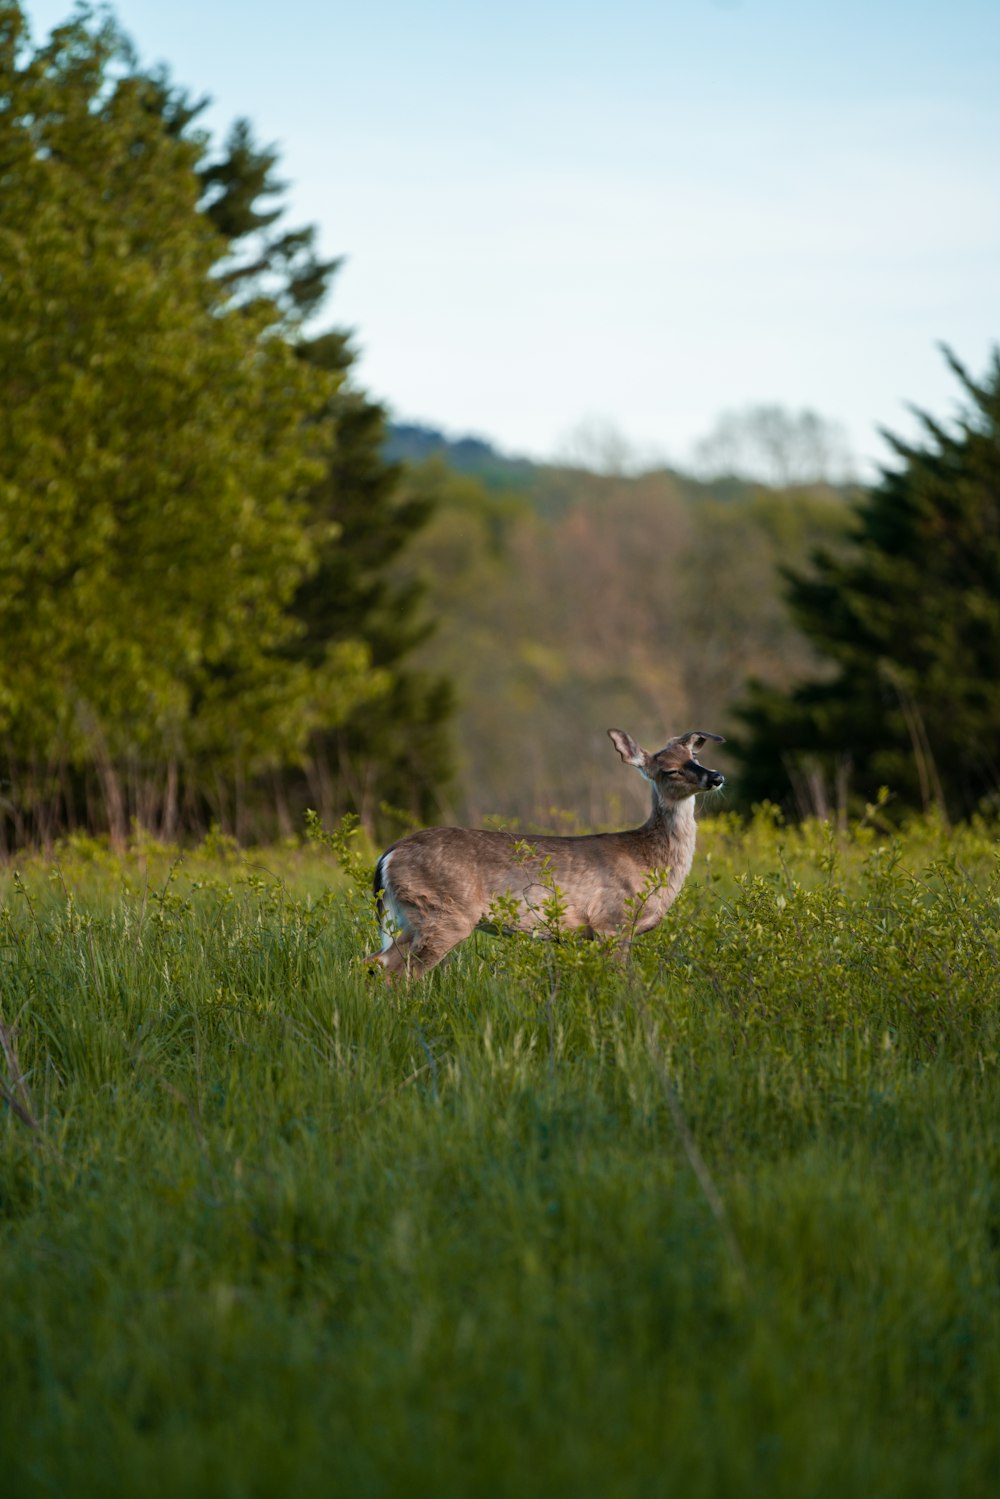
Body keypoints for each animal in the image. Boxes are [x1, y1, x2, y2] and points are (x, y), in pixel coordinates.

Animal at [364, 728, 722, 983]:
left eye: (694, 756)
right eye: (670, 770)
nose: (716, 776)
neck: (648, 860)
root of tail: (387, 856)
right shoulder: (612, 921)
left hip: (411, 916)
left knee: (375, 961)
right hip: (443, 912)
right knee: (398, 972)